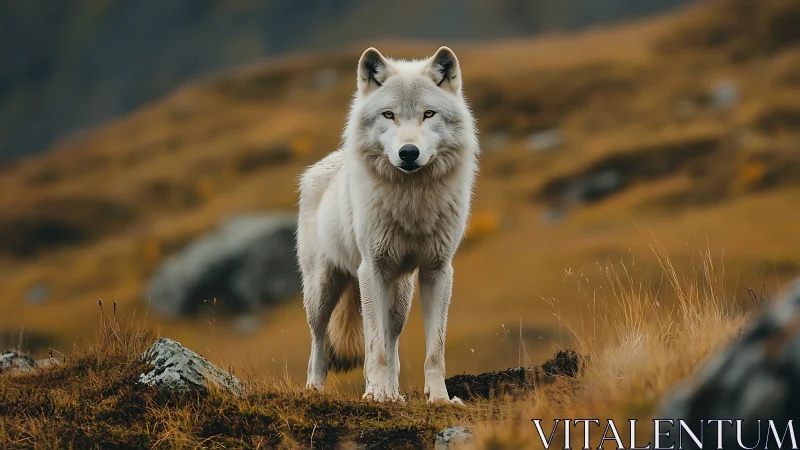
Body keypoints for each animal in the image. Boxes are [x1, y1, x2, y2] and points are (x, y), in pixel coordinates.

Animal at [296, 46, 479, 403]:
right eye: (389, 115)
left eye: (428, 114)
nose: (409, 152)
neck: (412, 201)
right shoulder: (373, 269)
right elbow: (374, 348)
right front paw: (376, 396)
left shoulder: (438, 270)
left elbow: (434, 352)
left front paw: (439, 398)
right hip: (323, 290)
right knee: (319, 341)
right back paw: (317, 388)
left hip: (400, 297)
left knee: (392, 340)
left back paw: (395, 394)